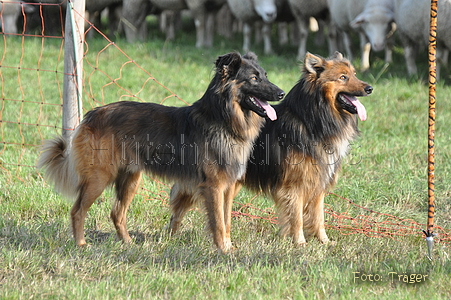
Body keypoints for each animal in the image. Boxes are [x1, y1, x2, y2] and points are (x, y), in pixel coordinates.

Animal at [39, 52, 286, 253]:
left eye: (264, 75)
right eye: (254, 78)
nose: (282, 93)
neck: (223, 119)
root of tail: (92, 114)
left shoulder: (228, 187)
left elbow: (226, 222)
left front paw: (228, 247)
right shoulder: (214, 187)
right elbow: (217, 222)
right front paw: (223, 250)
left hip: (130, 179)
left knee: (117, 213)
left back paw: (128, 243)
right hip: (99, 178)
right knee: (78, 211)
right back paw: (81, 244)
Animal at [235, 52, 372, 246]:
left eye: (354, 74)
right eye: (343, 77)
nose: (370, 88)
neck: (313, 123)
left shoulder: (319, 183)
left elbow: (318, 217)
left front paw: (324, 241)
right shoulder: (294, 186)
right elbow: (297, 217)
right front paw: (300, 243)